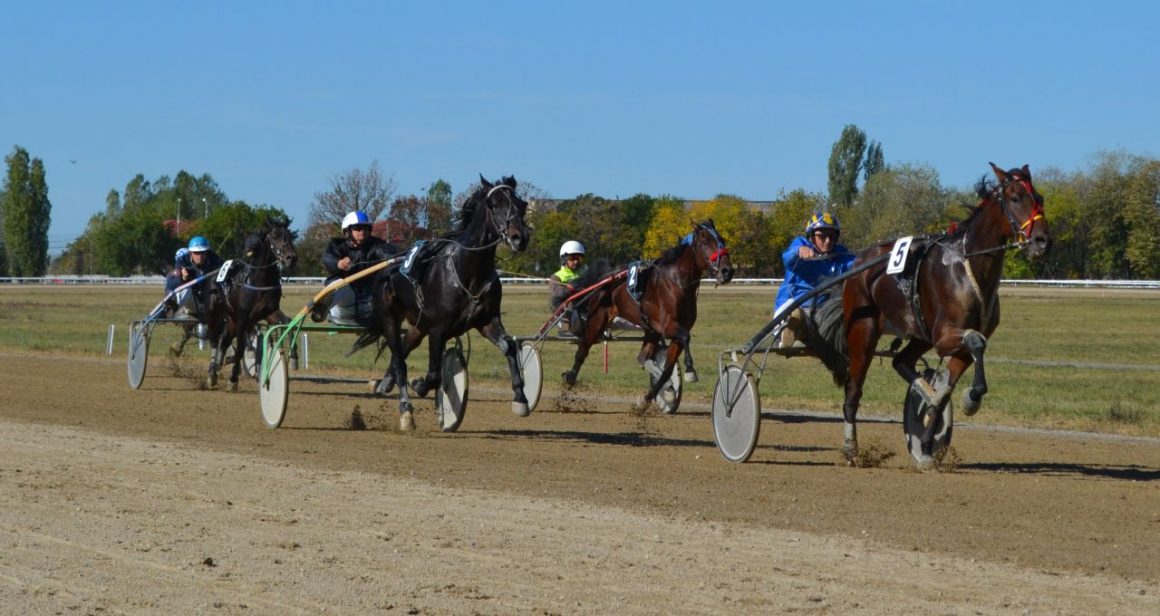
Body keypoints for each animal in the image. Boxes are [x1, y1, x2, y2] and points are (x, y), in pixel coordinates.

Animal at [207, 216, 301, 389]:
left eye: (289, 236)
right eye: (275, 236)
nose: (291, 258)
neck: (259, 282)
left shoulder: (269, 312)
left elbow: (287, 322)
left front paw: (294, 358)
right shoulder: (243, 318)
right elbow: (240, 348)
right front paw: (233, 379)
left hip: (232, 321)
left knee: (225, 340)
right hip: (216, 317)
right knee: (216, 340)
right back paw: (212, 373)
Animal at [368, 176, 531, 431]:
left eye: (521, 204)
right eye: (493, 204)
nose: (519, 237)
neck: (468, 272)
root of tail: (388, 266)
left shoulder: (487, 321)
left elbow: (509, 346)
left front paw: (520, 399)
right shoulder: (438, 329)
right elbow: (434, 374)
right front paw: (420, 385)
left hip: (418, 325)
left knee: (402, 350)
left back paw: (385, 382)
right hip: (390, 319)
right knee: (400, 362)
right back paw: (406, 411)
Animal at [561, 220, 733, 410]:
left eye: (722, 240)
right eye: (705, 241)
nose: (727, 271)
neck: (677, 283)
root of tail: (606, 279)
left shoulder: (672, 330)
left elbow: (667, 370)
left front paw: (650, 398)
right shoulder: (667, 326)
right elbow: (685, 337)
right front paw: (690, 370)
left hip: (650, 330)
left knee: (642, 357)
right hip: (598, 319)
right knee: (583, 349)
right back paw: (570, 377)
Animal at [839, 161, 1048, 470]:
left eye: (1040, 198)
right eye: (1015, 197)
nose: (1042, 241)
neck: (967, 266)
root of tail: (859, 261)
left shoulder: (954, 341)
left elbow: (949, 384)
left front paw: (927, 442)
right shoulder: (945, 336)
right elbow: (976, 342)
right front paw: (971, 398)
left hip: (919, 333)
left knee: (901, 362)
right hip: (863, 331)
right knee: (853, 391)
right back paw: (852, 449)